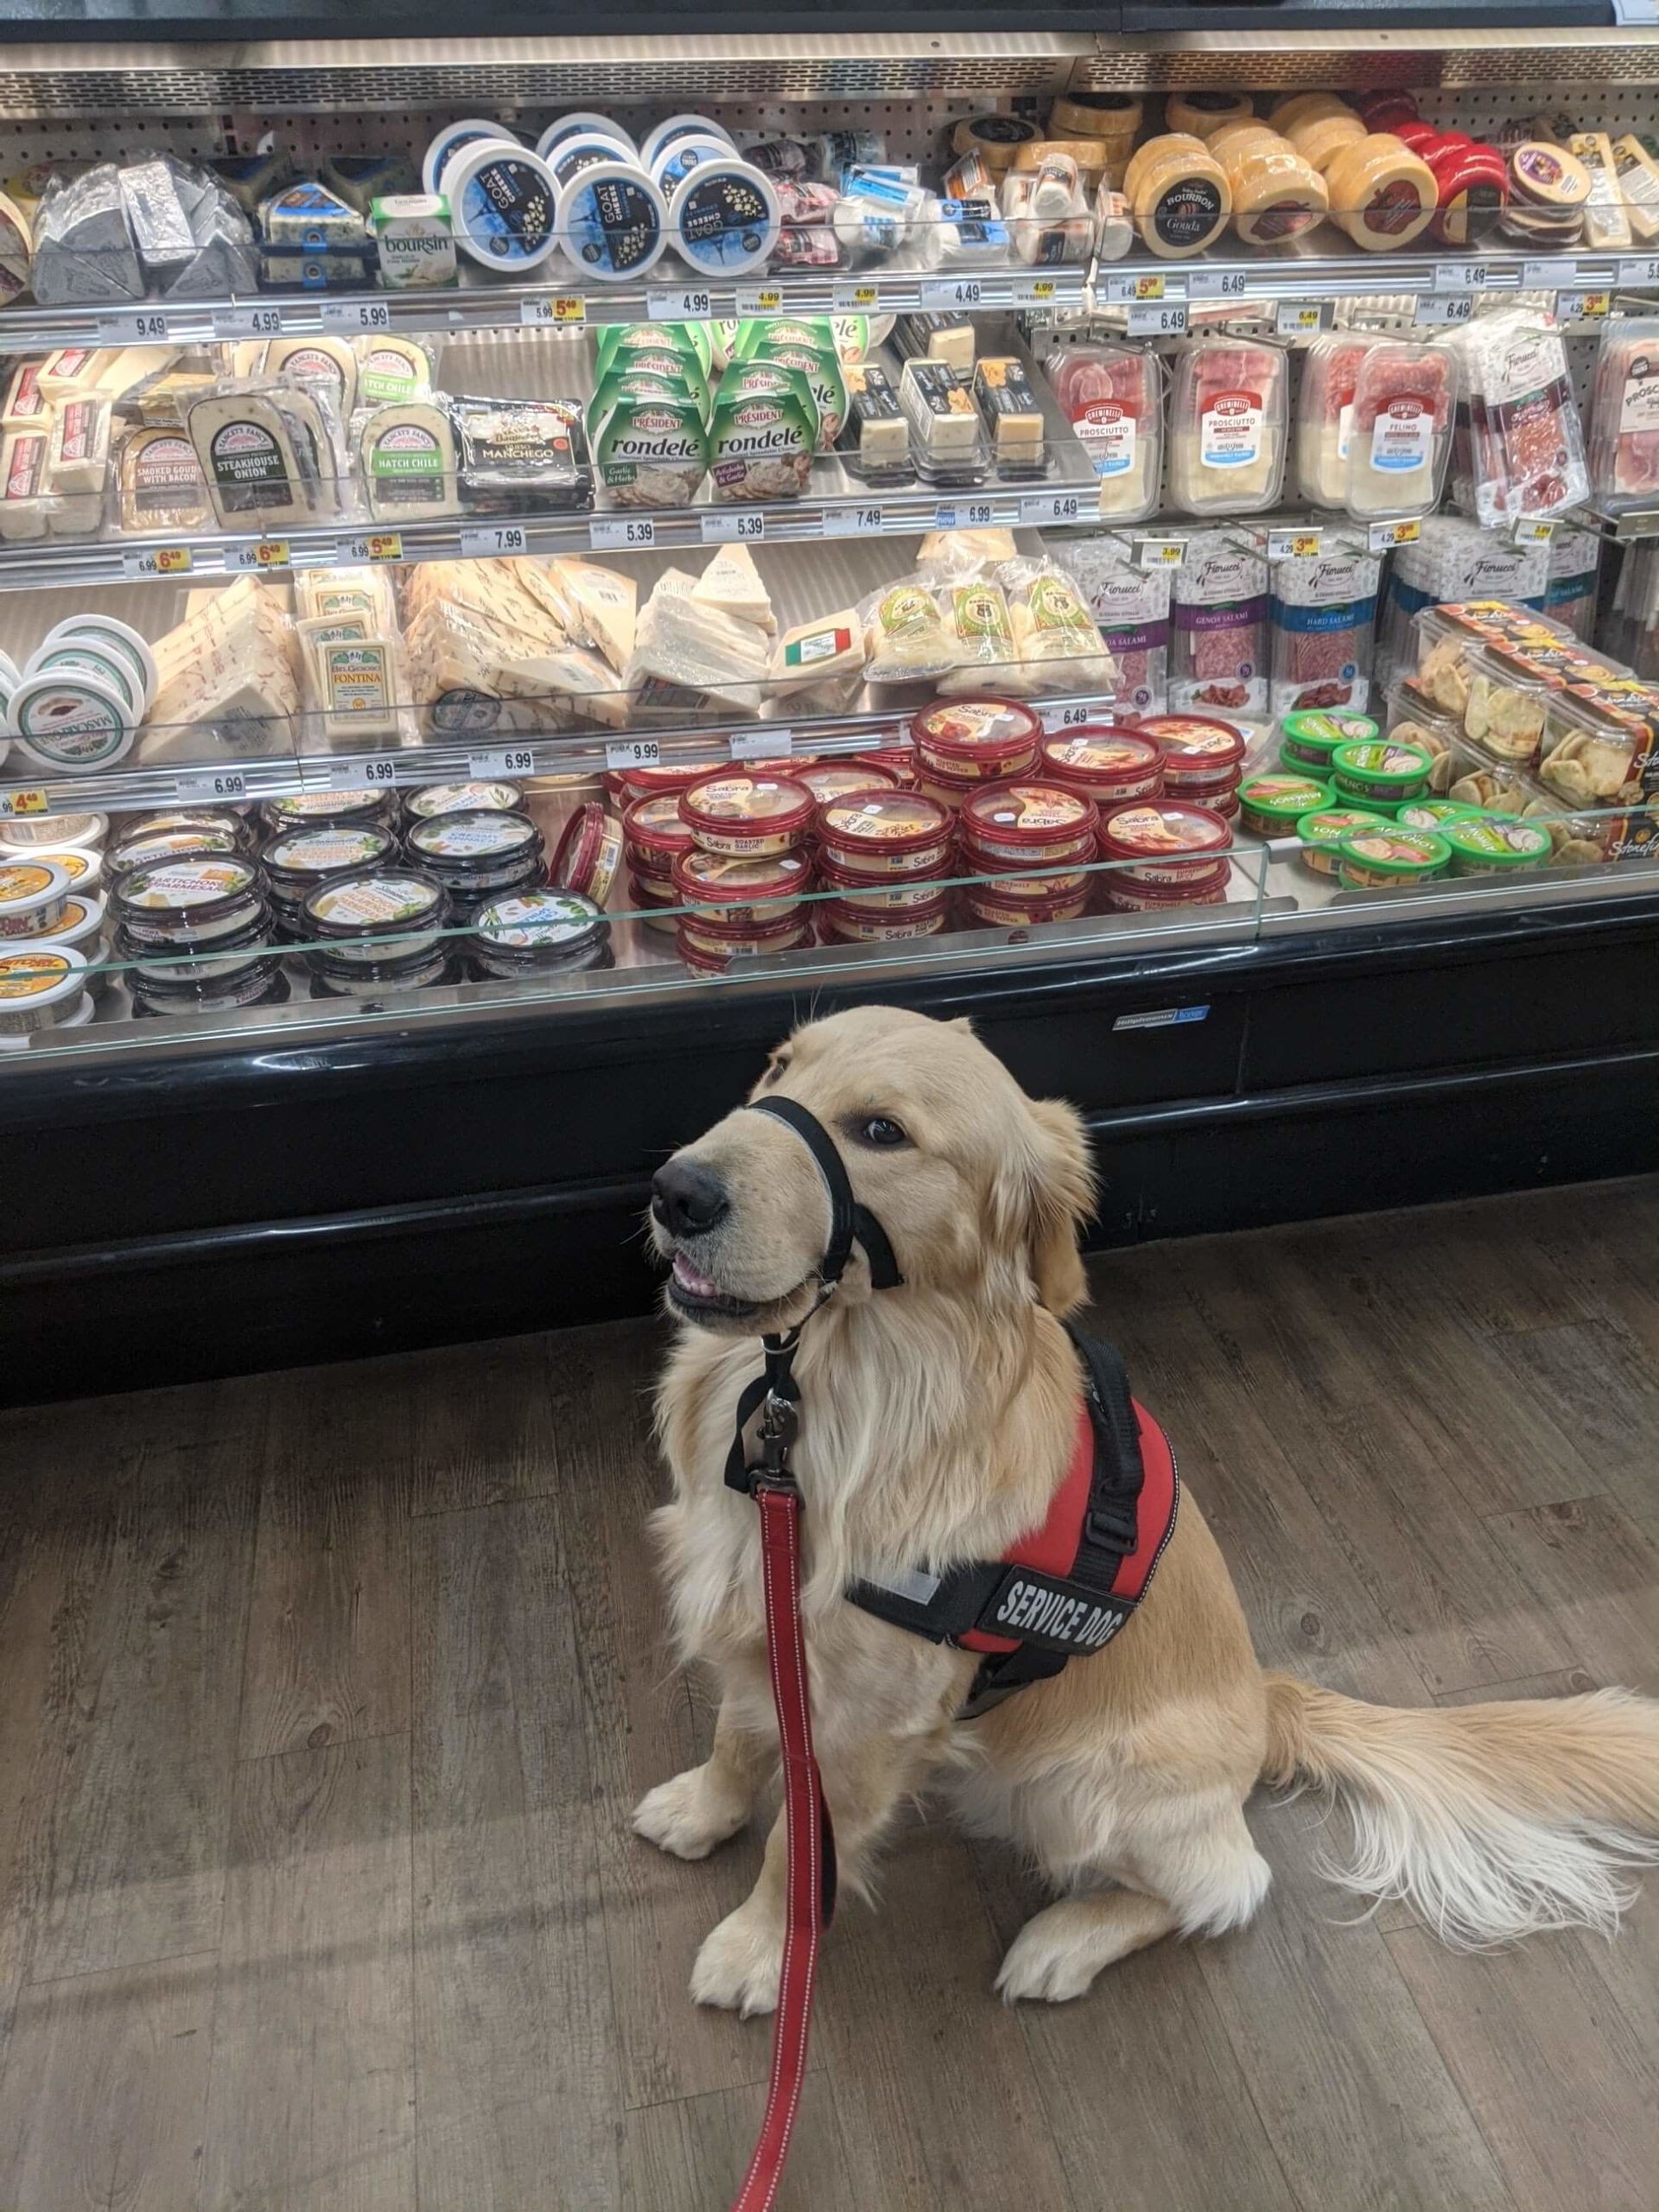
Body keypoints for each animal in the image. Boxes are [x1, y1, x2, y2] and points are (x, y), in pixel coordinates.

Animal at [637, 1013, 1659, 2017]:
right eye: (779, 1067)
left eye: (882, 1130)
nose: (674, 1190)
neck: (826, 1390)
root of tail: (1266, 1698)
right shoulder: (757, 1606)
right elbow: (737, 1739)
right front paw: (702, 1809)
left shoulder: (864, 1717)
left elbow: (799, 1848)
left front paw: (761, 1952)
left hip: (1082, 1786)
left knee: (1228, 1886)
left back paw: (1061, 1944)